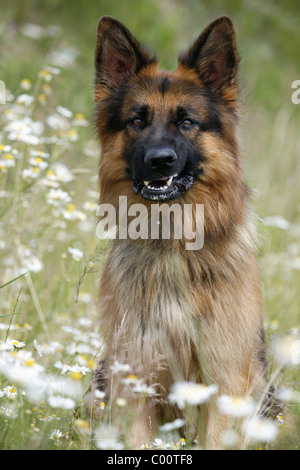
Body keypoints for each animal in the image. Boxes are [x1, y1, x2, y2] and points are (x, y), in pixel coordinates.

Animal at [84, 13, 276, 448]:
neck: (172, 245)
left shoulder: (224, 382)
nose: (160, 161)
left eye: (187, 122)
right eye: (137, 121)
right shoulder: (135, 378)